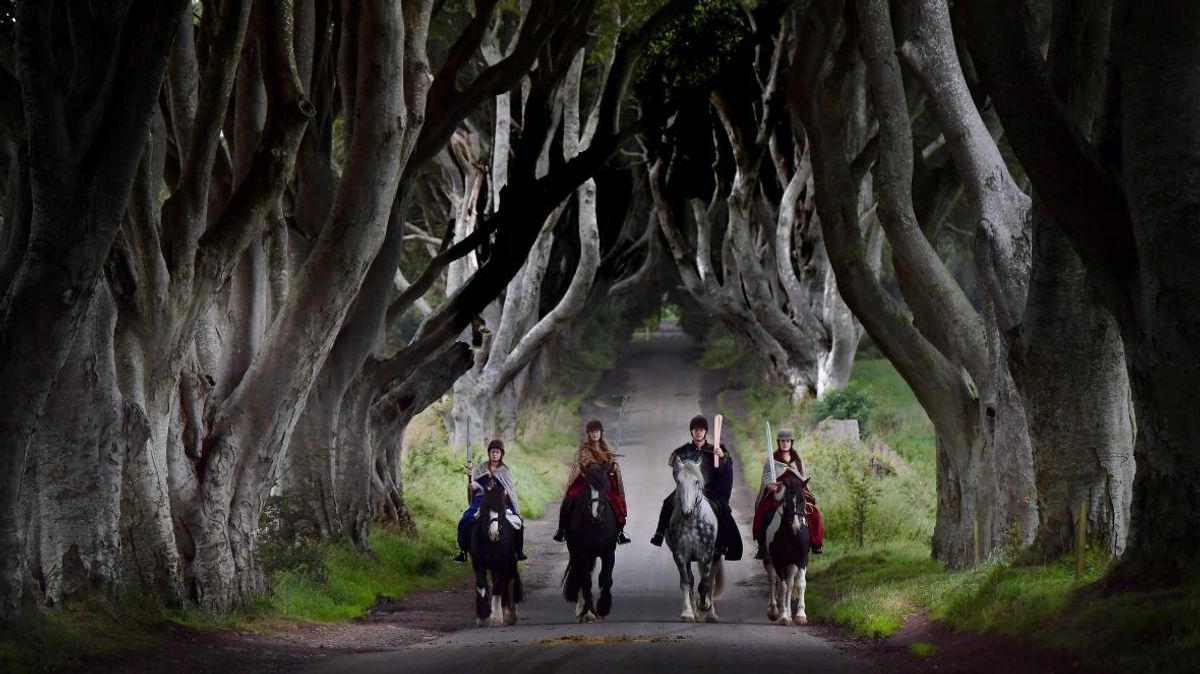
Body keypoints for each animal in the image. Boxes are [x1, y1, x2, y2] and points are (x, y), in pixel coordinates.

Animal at [470, 477, 523, 623]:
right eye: (485, 509)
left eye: (503, 511)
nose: (494, 533)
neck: (491, 543)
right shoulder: (478, 562)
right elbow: (482, 586)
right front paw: (483, 616)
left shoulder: (503, 563)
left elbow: (498, 587)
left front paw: (497, 618)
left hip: (510, 561)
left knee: (509, 579)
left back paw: (509, 613)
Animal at [561, 460, 619, 618]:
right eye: (587, 487)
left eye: (606, 486)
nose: (596, 513)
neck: (595, 525)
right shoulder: (581, 553)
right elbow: (586, 580)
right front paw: (588, 612)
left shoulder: (608, 552)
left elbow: (606, 578)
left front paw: (603, 607)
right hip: (575, 552)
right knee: (580, 574)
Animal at [667, 455, 720, 618]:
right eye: (679, 481)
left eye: (697, 481)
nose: (687, 511)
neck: (692, 522)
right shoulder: (679, 555)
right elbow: (686, 583)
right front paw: (688, 612)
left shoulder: (707, 555)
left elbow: (704, 584)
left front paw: (704, 605)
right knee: (691, 579)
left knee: (711, 581)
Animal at [763, 477, 811, 623]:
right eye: (787, 500)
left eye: (803, 499)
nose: (796, 526)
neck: (791, 536)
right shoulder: (778, 560)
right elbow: (782, 586)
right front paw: (783, 616)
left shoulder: (801, 559)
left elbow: (800, 583)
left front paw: (800, 615)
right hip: (769, 560)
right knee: (773, 580)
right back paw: (774, 610)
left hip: (791, 563)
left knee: (790, 583)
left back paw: (789, 612)